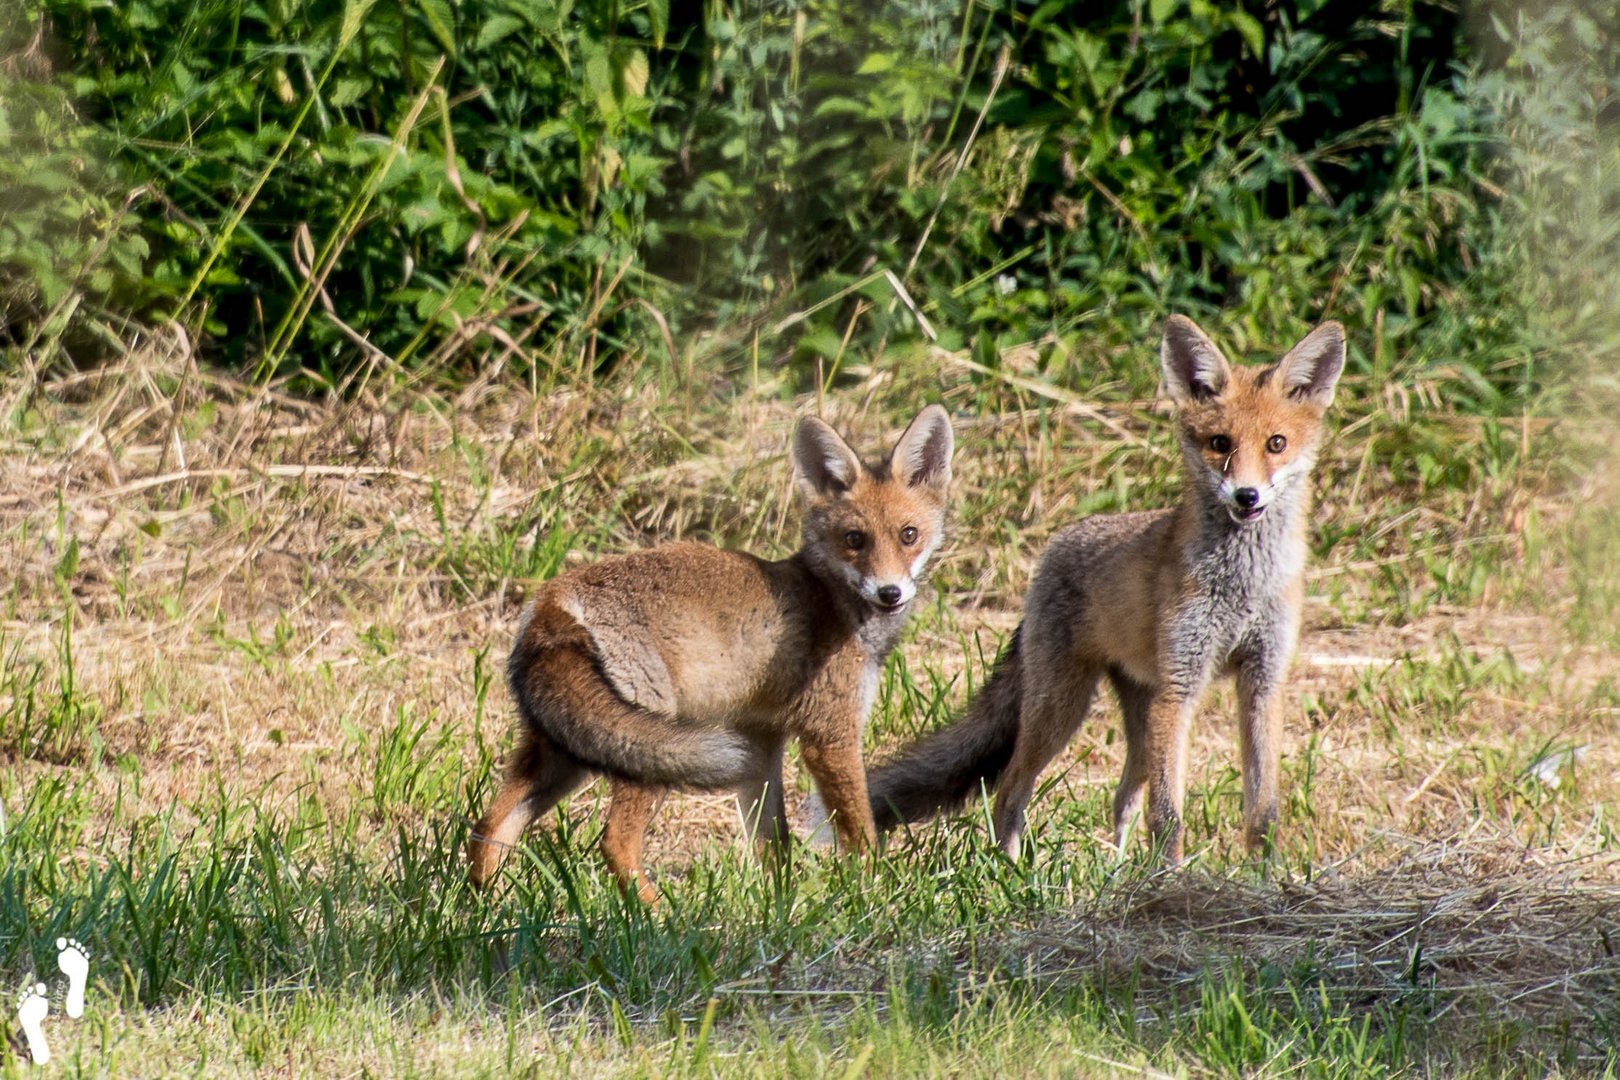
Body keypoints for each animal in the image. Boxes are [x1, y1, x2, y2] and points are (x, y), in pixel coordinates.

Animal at [463, 404, 952, 893]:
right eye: (855, 540)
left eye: (908, 535)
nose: (890, 593)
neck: (833, 600)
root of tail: (552, 603)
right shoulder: (829, 735)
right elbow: (860, 834)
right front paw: (869, 891)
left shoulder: (761, 742)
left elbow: (772, 844)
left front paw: (777, 902)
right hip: (644, 751)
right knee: (614, 843)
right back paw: (654, 909)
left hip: (567, 751)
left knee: (490, 825)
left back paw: (487, 904)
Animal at [855, 317, 1347, 867]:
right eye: (1220, 443)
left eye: (1276, 443)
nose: (1247, 496)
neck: (1243, 585)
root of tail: (1054, 550)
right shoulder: (1180, 688)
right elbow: (1168, 817)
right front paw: (1171, 879)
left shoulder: (1263, 683)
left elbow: (1262, 814)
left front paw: (1265, 876)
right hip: (1062, 710)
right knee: (1009, 790)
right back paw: (1013, 871)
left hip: (1138, 721)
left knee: (1121, 801)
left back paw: (1113, 872)